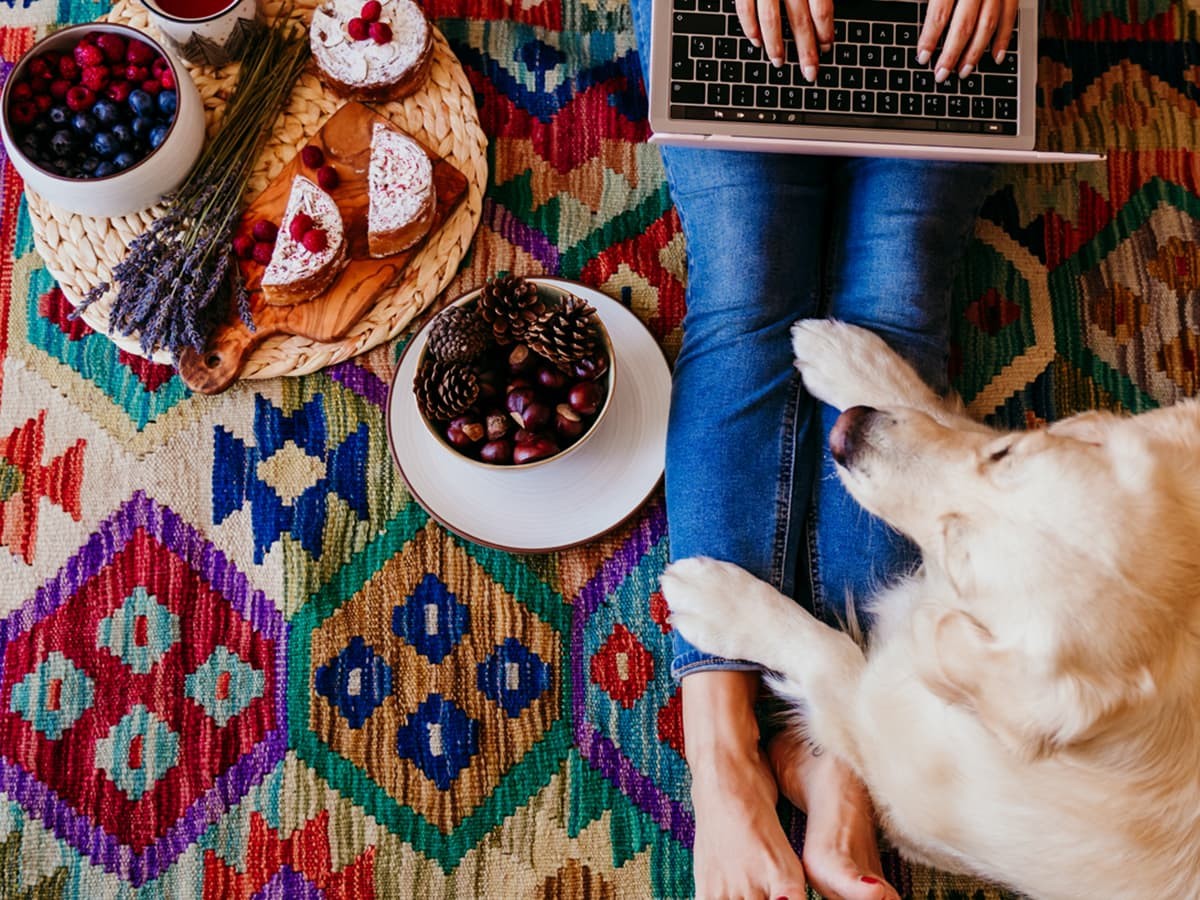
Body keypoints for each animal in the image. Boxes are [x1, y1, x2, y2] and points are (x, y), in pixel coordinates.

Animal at [662, 321, 1200, 900]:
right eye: (1003, 453)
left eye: (959, 560)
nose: (848, 431)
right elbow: (944, 421)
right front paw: (851, 359)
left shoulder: (888, 745)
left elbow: (826, 651)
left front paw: (720, 600)